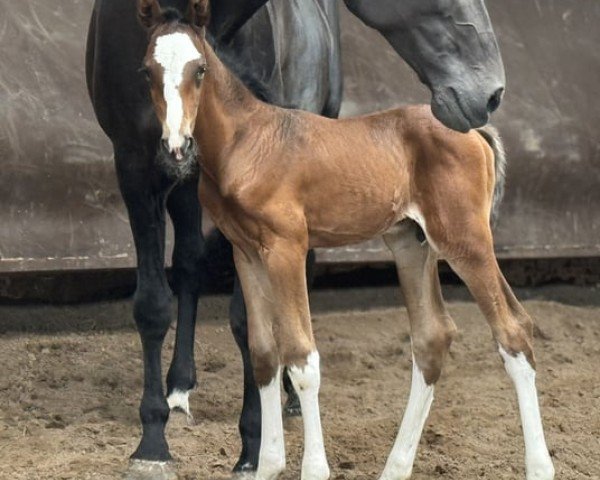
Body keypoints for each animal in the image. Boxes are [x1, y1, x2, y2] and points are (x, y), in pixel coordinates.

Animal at [139, 1, 552, 478]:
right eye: (147, 70)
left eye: (200, 69)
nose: (177, 147)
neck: (248, 141)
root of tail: (474, 132)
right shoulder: (247, 252)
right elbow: (263, 353)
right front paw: (267, 465)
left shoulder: (287, 248)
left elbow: (301, 357)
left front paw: (313, 468)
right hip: (412, 244)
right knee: (432, 337)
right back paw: (395, 467)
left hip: (465, 241)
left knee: (514, 331)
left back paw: (539, 467)